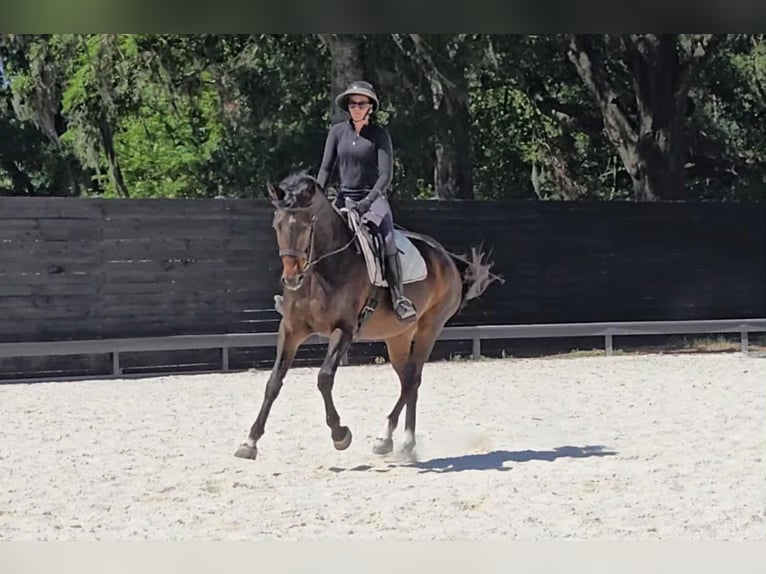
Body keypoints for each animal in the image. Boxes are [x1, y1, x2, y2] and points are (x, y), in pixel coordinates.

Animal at [234, 171, 501, 461]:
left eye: (306, 226)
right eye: (278, 225)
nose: (292, 278)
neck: (320, 271)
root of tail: (446, 257)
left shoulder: (344, 329)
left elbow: (324, 378)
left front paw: (340, 434)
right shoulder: (291, 328)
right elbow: (274, 381)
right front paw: (250, 441)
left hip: (430, 328)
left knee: (413, 379)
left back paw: (386, 436)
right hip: (398, 336)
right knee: (408, 379)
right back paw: (405, 442)